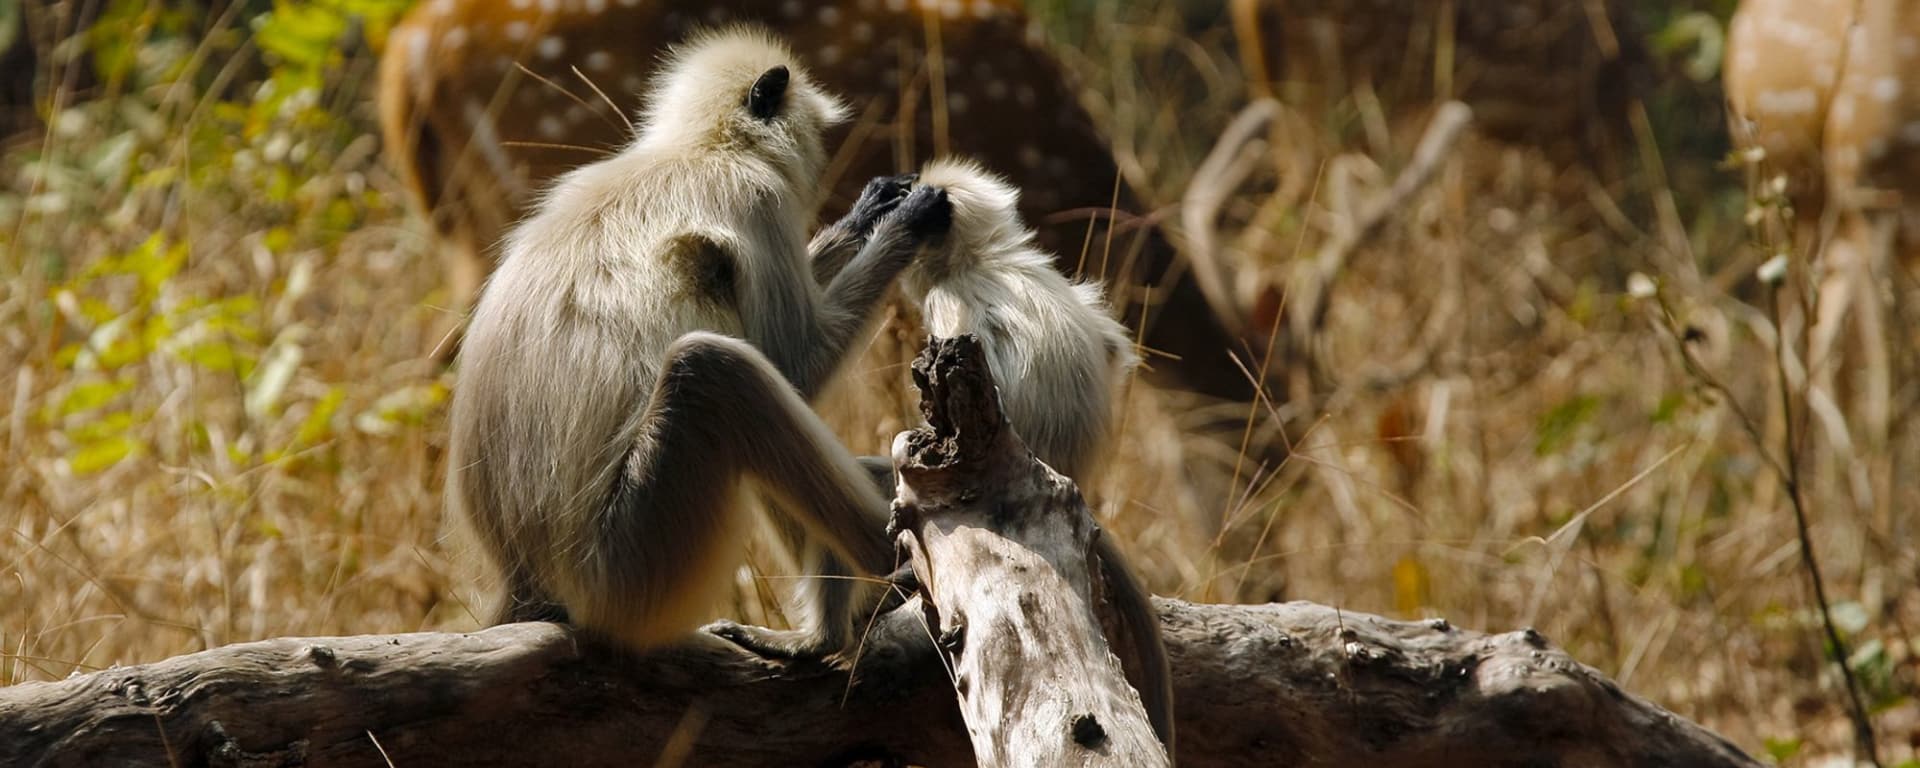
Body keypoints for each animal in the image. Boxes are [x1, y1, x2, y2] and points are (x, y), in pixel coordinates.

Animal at [451, 27, 960, 656]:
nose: (818, 165)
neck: (699, 148)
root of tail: (522, 576)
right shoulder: (757, 197)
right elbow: (794, 363)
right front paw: (908, 219)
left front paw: (869, 209)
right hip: (633, 568)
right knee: (716, 368)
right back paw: (858, 603)